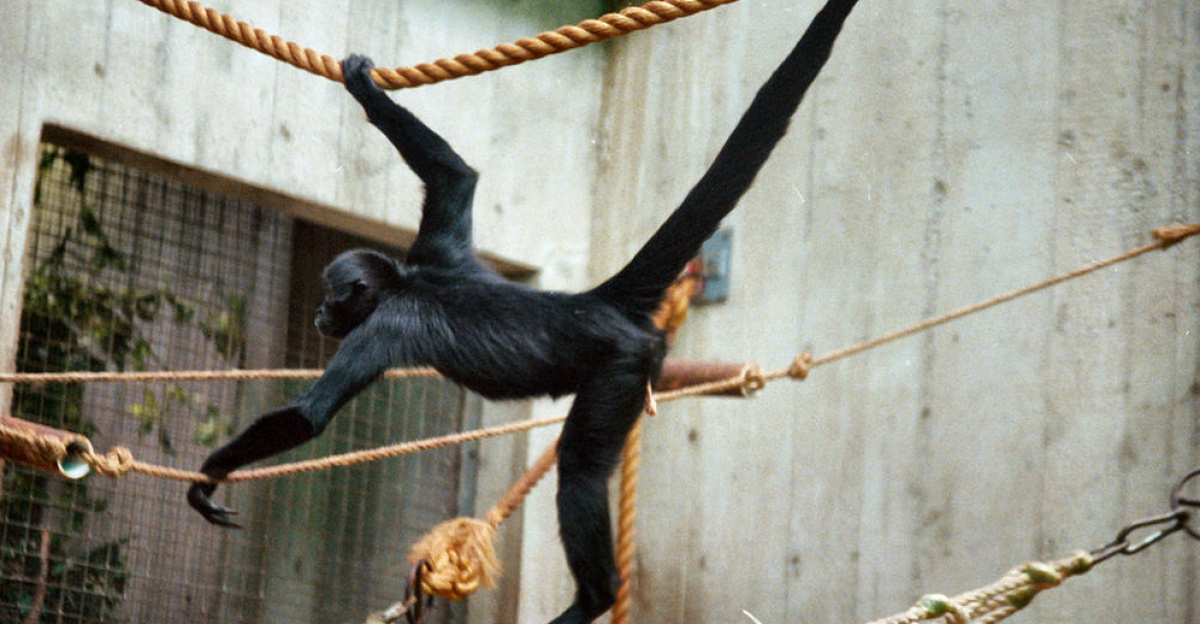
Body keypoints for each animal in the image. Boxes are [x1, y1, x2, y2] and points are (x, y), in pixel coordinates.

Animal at [187, 0, 860, 621]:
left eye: (331, 296)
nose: (321, 318)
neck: (406, 283)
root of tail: (595, 303)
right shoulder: (439, 252)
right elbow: (456, 177)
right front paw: (365, 87)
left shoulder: (385, 326)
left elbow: (309, 416)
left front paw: (208, 476)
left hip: (622, 366)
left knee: (579, 467)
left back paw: (591, 598)